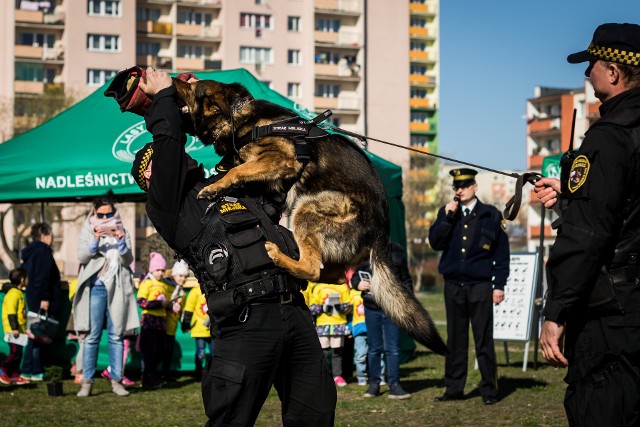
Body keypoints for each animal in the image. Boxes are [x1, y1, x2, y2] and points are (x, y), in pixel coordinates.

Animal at [172, 78, 448, 356]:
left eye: (192, 87)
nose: (173, 79)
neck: (238, 112)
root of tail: (382, 232)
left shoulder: (281, 159)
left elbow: (237, 170)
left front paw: (215, 186)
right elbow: (241, 171)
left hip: (306, 208)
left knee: (313, 268)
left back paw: (279, 257)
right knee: (334, 275)